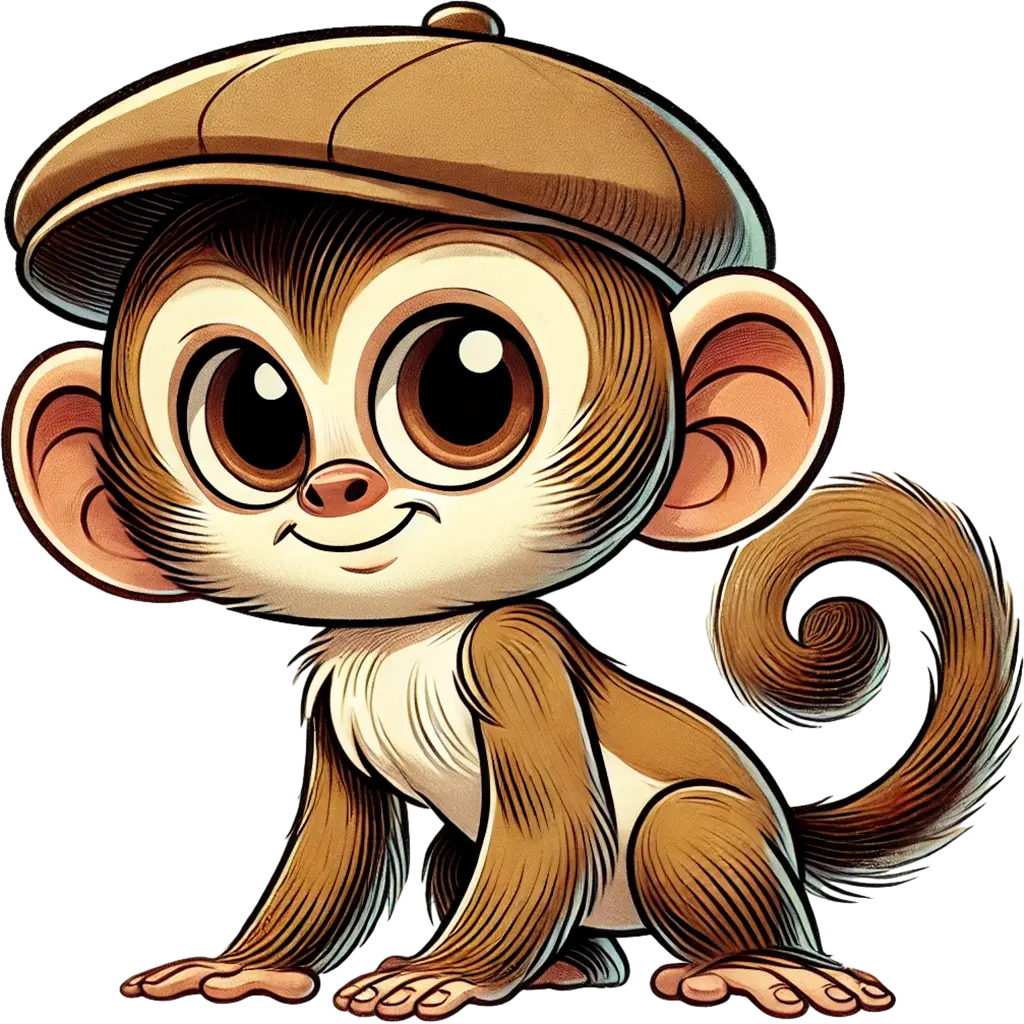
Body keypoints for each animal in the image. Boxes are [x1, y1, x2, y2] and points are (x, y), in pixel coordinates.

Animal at [2, 5, 1020, 1020]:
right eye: (255, 418)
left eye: (466, 387)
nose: (337, 487)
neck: (403, 640)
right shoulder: (328, 698)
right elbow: (336, 843)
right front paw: (254, 965)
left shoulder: (515, 659)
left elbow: (552, 830)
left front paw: (444, 973)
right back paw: (575, 967)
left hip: (707, 834)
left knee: (681, 830)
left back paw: (752, 963)